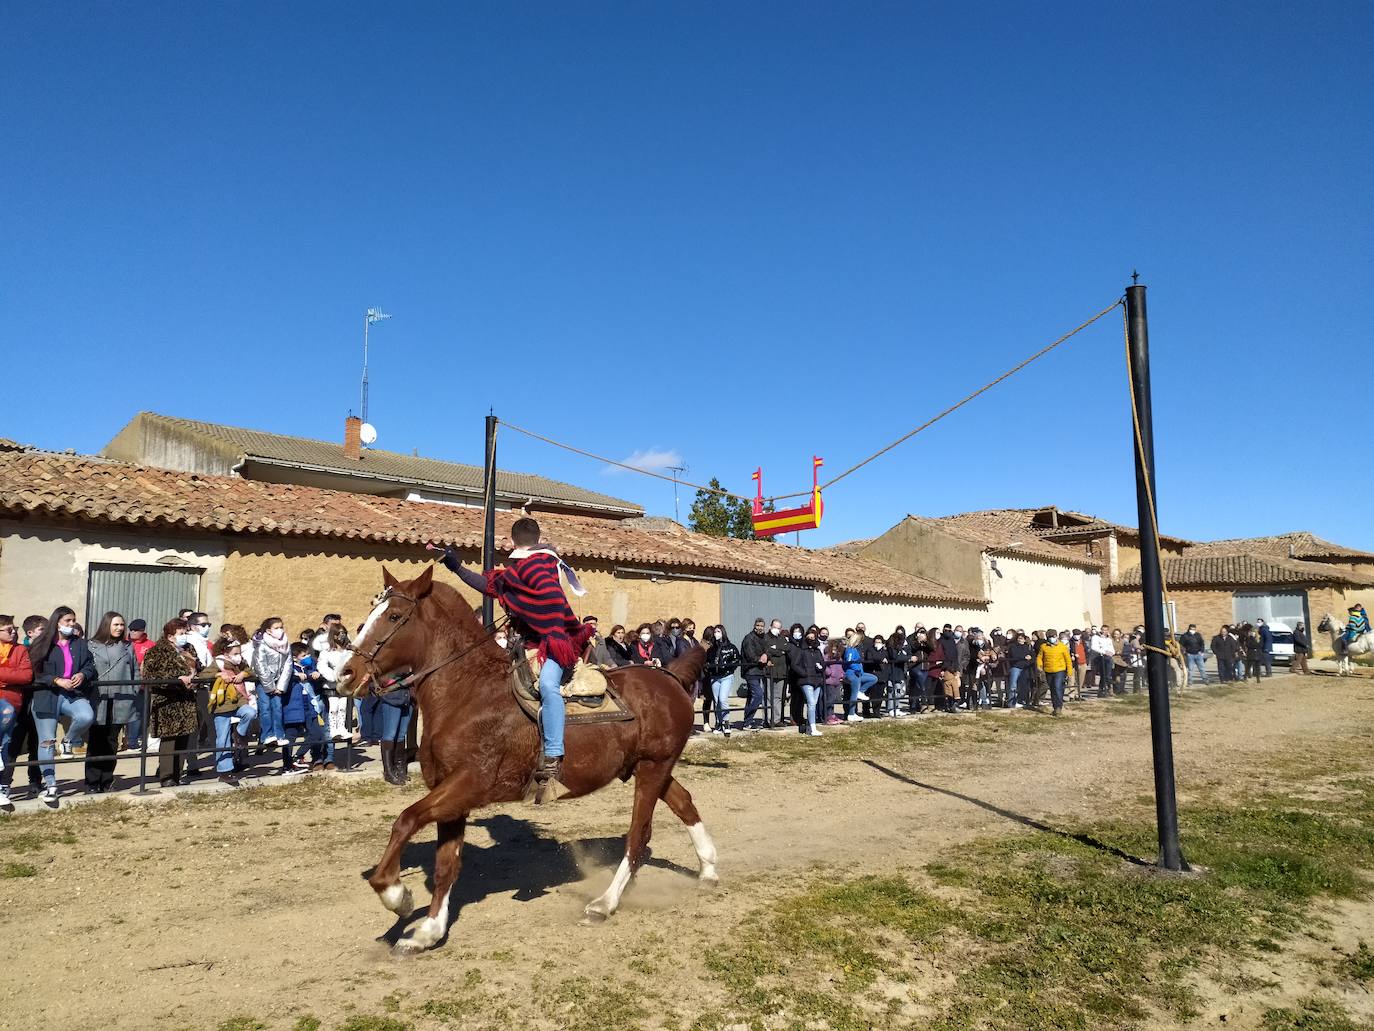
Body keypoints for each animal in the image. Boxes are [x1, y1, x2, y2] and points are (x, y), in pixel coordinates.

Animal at [333, 569, 719, 956]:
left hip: (654, 768)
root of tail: (669, 678)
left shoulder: (469, 783)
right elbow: (445, 865)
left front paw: (396, 895)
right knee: (683, 803)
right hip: (646, 767)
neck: (469, 691)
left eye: (394, 616)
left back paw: (605, 903)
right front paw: (427, 931)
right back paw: (708, 869)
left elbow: (406, 820)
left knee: (638, 835)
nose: (344, 673)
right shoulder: (450, 795)